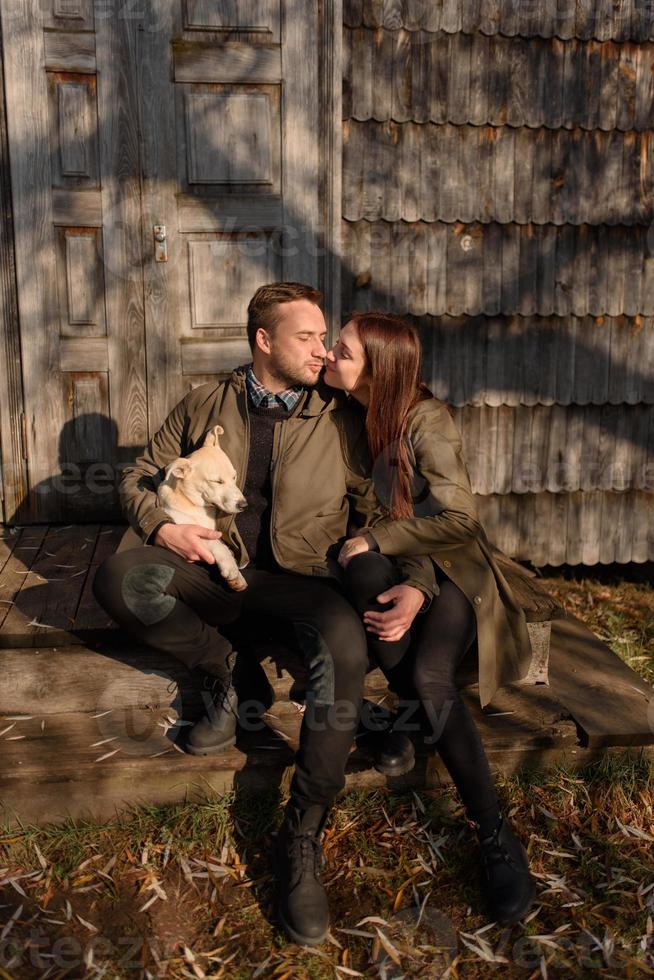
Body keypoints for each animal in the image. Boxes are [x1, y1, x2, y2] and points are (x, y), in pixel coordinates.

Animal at [158, 424, 249, 588]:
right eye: (217, 481)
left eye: (234, 476)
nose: (244, 505)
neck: (197, 507)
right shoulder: (186, 527)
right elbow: (216, 542)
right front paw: (230, 566)